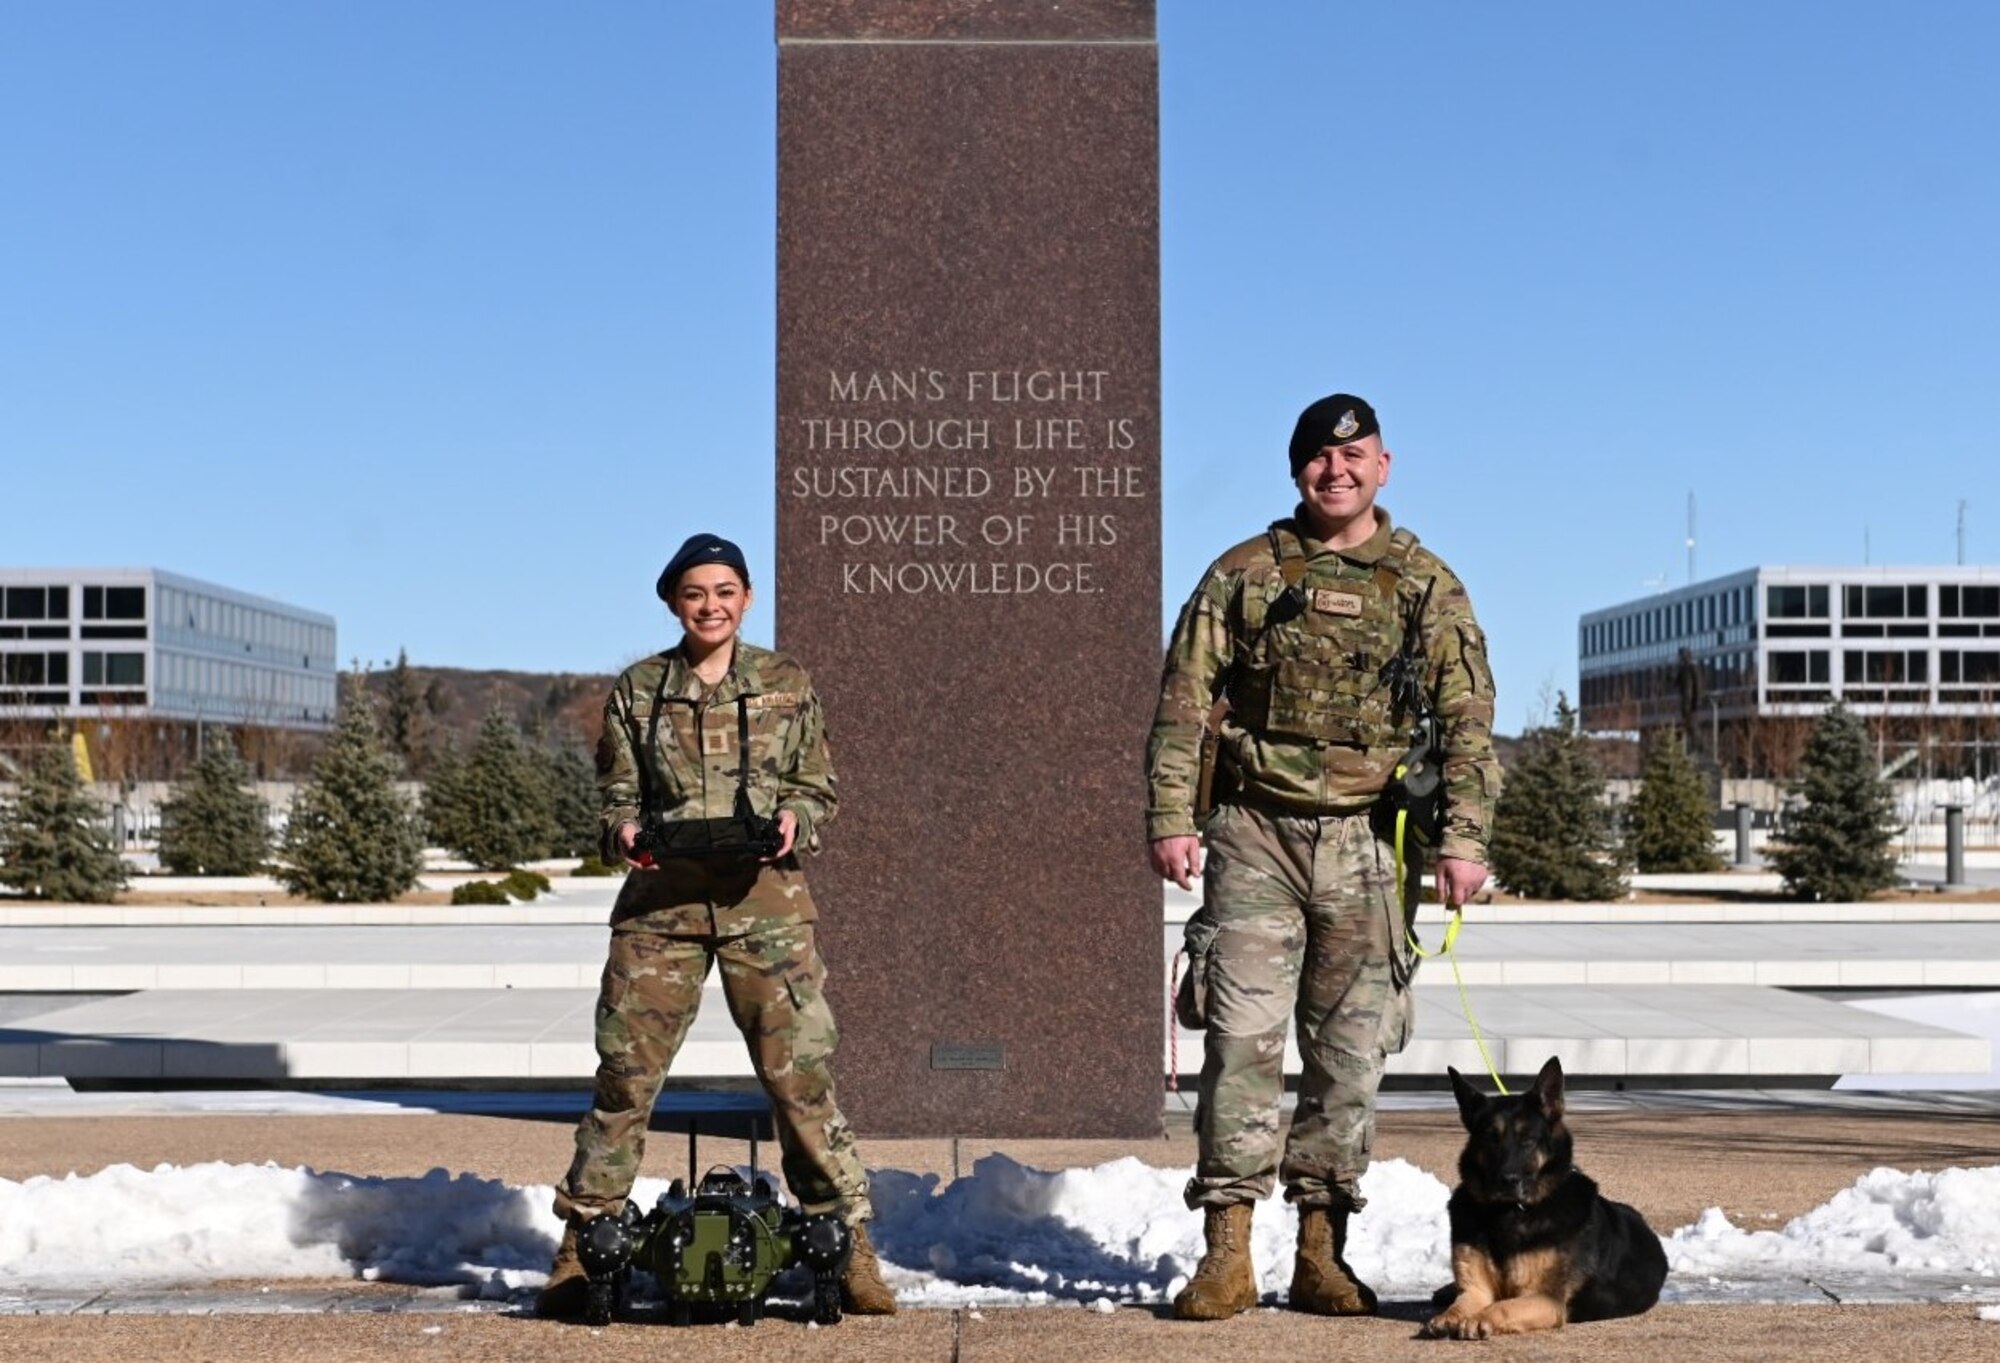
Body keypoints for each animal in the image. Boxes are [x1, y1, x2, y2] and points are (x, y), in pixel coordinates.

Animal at [1424, 1047, 1672, 1335]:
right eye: (1491, 1138)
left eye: (1528, 1140)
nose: (1507, 1180)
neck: (1508, 1213)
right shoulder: (1476, 1290)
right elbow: (1463, 1302)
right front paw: (1451, 1315)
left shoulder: (1545, 1299)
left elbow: (1504, 1306)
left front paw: (1480, 1318)